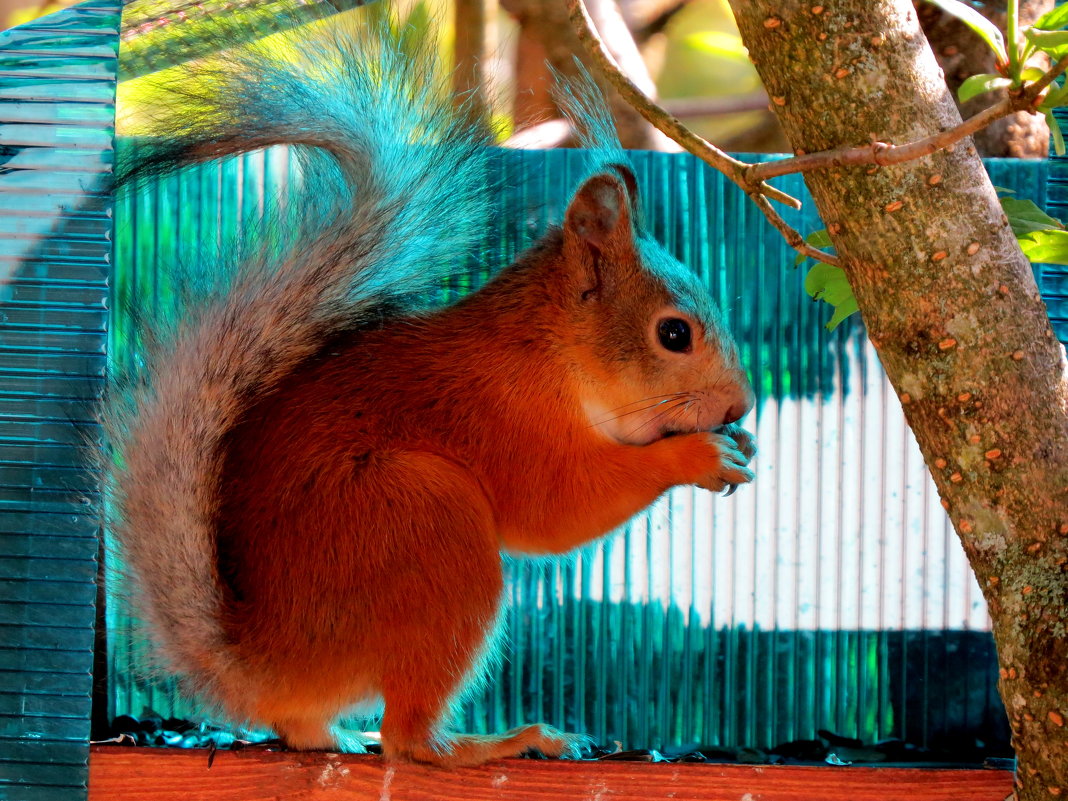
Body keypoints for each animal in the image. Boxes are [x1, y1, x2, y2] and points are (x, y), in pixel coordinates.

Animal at [104, 7, 756, 773]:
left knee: (318, 727)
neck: (546, 352)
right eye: (674, 334)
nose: (741, 405)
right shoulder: (498, 417)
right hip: (428, 522)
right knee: (408, 739)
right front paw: (698, 456)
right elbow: (554, 510)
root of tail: (263, 662)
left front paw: (739, 442)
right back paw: (501, 741)